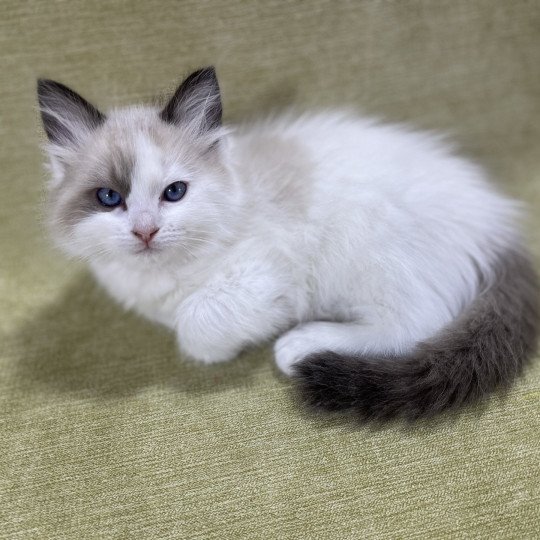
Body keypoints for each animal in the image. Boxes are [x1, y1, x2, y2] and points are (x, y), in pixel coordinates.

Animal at [35, 67, 536, 420]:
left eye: (174, 192)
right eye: (109, 198)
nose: (145, 231)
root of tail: (499, 224)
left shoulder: (267, 274)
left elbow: (197, 321)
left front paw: (219, 347)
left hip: (366, 239)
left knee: (416, 323)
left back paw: (302, 345)